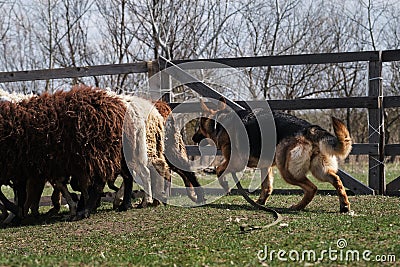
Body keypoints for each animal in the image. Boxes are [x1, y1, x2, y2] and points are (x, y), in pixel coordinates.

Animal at [192, 98, 352, 214]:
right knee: (336, 179)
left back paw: (298, 206)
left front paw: (226, 186)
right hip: (320, 170)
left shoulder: (237, 162)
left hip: (288, 172)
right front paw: (260, 203)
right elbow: (267, 187)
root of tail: (309, 129)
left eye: (198, 126)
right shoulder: (265, 166)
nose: (193, 138)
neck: (220, 121)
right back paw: (344, 206)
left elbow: (219, 169)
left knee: (312, 188)